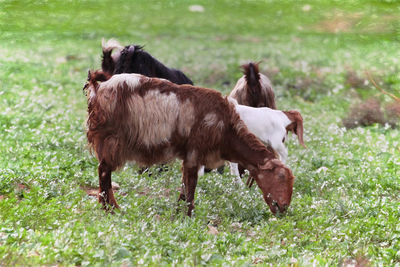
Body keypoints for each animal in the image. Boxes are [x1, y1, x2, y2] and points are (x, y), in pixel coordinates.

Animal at [84, 70, 296, 216]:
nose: (283, 208)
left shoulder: (190, 155)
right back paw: (110, 208)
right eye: (280, 178)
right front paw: (187, 215)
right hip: (111, 139)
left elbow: (185, 184)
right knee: (104, 171)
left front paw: (179, 213)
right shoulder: (195, 152)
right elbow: (191, 185)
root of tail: (99, 88)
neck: (227, 129)